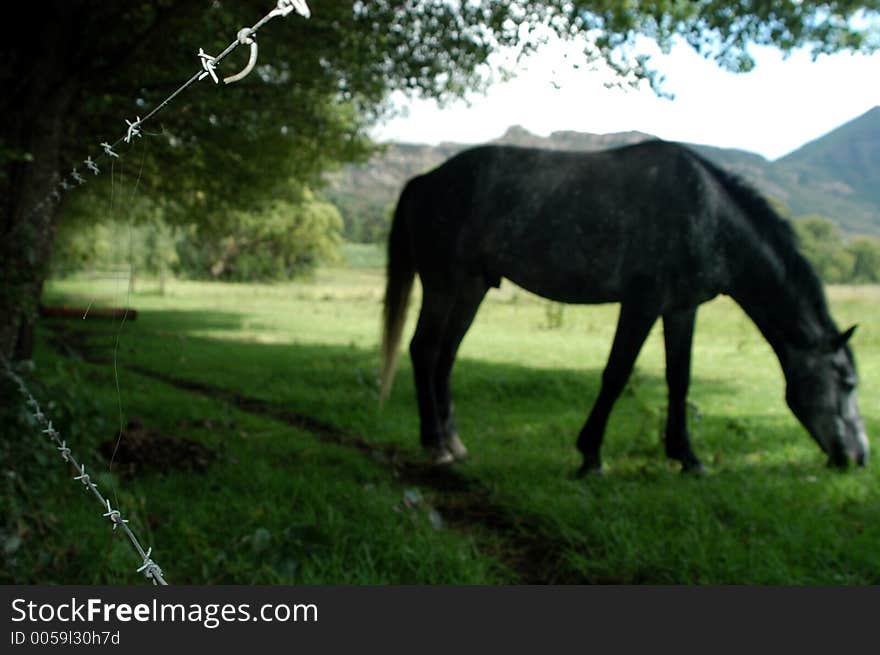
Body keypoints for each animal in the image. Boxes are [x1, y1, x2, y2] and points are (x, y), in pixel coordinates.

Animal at [380, 140, 868, 476]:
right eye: (845, 382)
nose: (859, 456)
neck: (706, 214)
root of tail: (425, 181)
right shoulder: (642, 303)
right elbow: (616, 374)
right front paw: (591, 456)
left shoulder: (680, 309)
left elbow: (679, 379)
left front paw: (688, 457)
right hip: (443, 283)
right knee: (424, 350)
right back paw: (436, 446)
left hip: (472, 287)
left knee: (445, 357)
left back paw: (455, 444)